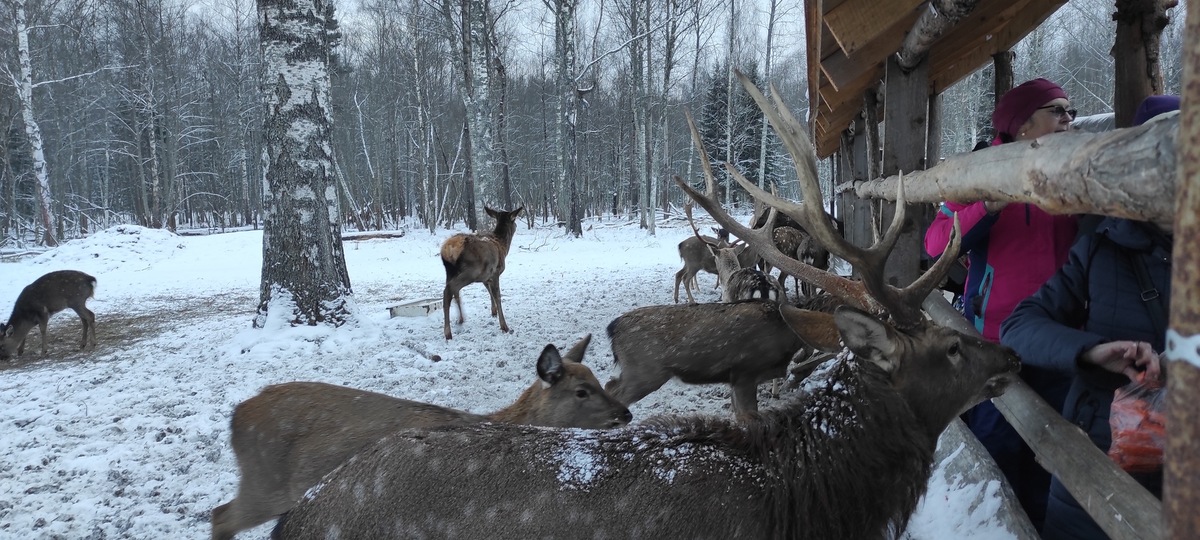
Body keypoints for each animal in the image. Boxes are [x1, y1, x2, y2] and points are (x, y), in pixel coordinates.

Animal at [211, 333, 633, 540]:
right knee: (221, 515)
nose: (625, 414)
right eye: (581, 391)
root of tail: (237, 414)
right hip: (266, 482)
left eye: (599, 379)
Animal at [436, 205, 520, 340]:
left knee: (454, 291)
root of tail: (449, 249)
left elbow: (489, 291)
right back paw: (448, 333)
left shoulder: (486, 276)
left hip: (450, 271)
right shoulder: (495, 272)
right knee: (450, 290)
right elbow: (497, 296)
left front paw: (493, 312)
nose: (516, 225)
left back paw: (460, 319)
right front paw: (504, 326)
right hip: (471, 271)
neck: (503, 246)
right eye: (514, 219)